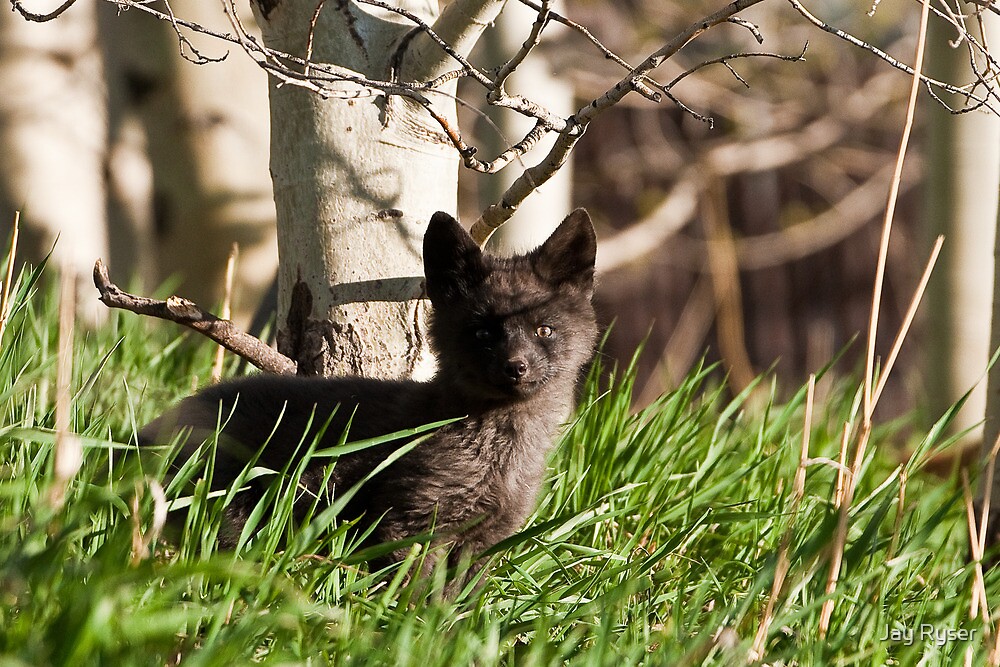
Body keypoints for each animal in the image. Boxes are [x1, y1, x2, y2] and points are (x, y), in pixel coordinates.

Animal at [141, 208, 599, 577]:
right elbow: (411, 596)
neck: (498, 455)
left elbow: (457, 606)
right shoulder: (408, 522)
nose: (515, 367)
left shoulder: (482, 541)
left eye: (544, 330)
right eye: (483, 333)